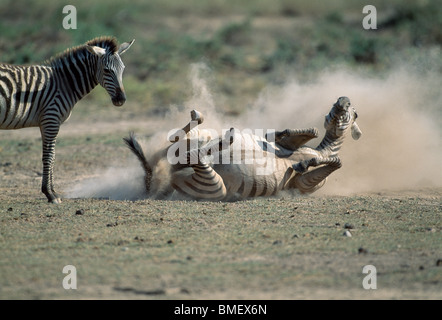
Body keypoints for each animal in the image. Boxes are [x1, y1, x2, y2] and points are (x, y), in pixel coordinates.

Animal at [0, 36, 135, 202]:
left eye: (123, 69)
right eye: (107, 70)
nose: (121, 100)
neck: (65, 83)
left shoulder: (46, 122)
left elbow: (52, 156)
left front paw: (51, 191)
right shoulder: (51, 118)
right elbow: (49, 156)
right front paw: (50, 194)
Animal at [123, 96, 360, 201]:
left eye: (353, 112)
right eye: (337, 107)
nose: (343, 100)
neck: (321, 151)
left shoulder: (303, 185)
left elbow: (336, 162)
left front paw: (305, 163)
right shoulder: (287, 145)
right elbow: (311, 131)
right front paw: (282, 136)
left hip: (215, 187)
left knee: (195, 156)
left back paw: (225, 140)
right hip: (192, 147)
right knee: (177, 141)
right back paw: (211, 128)